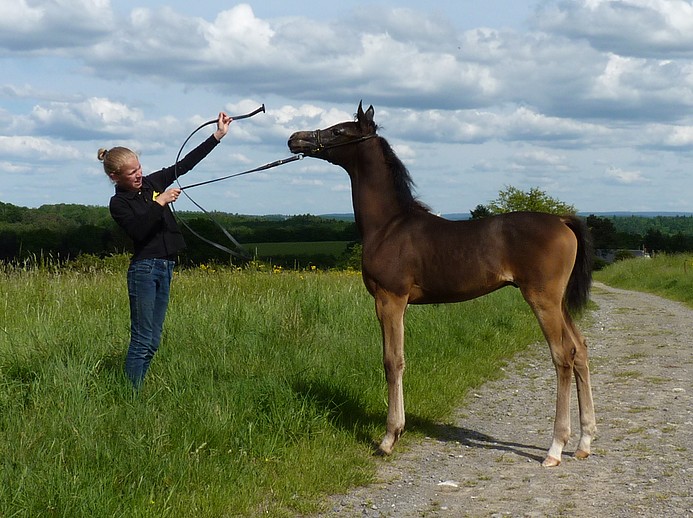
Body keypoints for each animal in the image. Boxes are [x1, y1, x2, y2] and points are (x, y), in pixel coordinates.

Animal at [286, 100, 596, 468]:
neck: (389, 226)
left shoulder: (389, 300)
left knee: (563, 356)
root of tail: (562, 220)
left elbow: (393, 361)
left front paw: (390, 437)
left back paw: (555, 447)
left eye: (338, 131)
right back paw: (584, 441)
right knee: (580, 350)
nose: (295, 138)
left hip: (543, 299)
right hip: (558, 302)